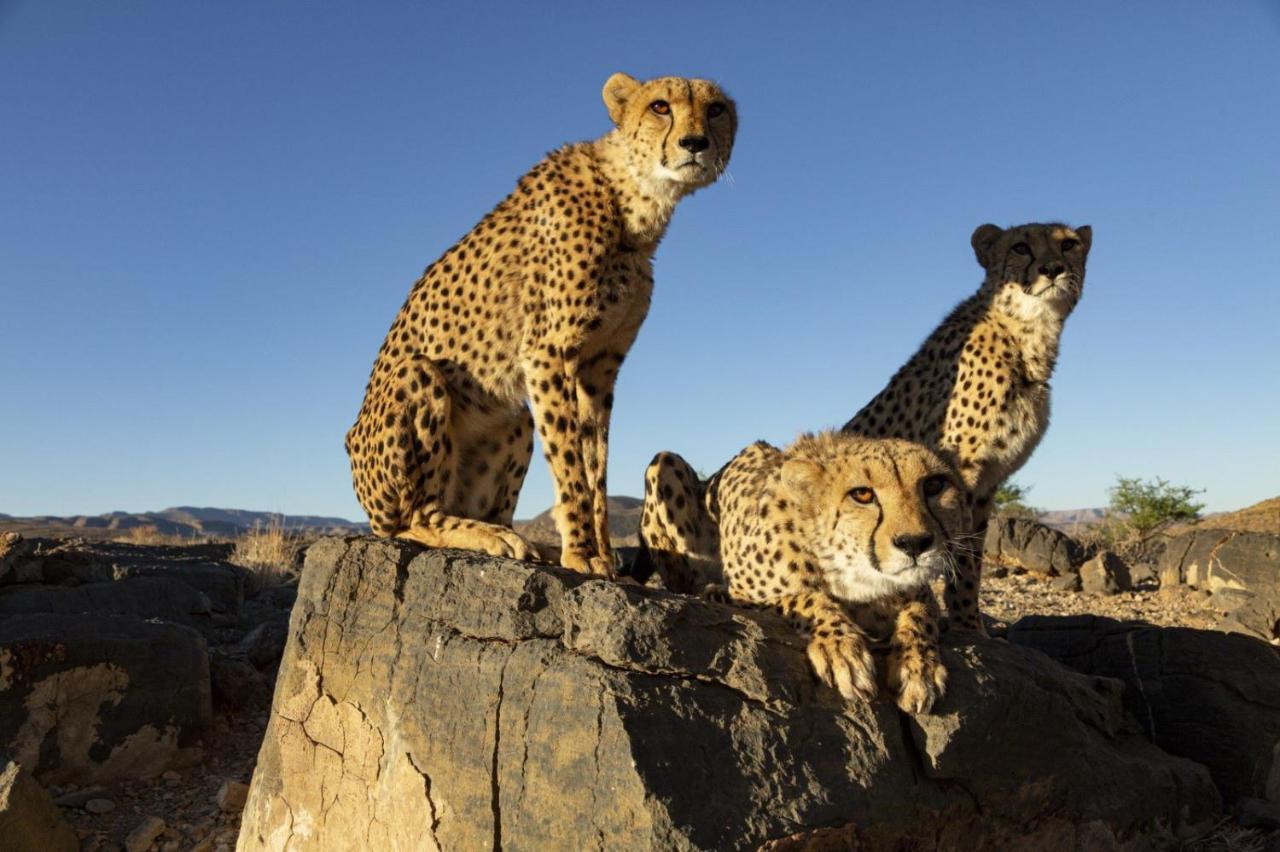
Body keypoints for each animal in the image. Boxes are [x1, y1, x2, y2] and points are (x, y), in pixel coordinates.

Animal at [345, 72, 737, 573]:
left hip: (512, 418)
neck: (633, 199)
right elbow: (570, 462)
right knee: (416, 517)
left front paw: (603, 555)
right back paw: (488, 537)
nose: (695, 143)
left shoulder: (599, 366)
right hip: (420, 377)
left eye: (716, 109)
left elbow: (595, 463)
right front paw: (582, 554)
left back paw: (528, 542)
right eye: (660, 106)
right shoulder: (548, 352)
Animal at [634, 432, 962, 711]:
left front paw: (918, 668)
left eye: (934, 485)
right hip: (663, 463)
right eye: (862, 495)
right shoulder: (750, 593)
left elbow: (920, 614)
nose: (914, 543)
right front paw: (842, 650)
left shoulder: (919, 593)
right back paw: (714, 591)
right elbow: (805, 597)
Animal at [839, 220, 1090, 629]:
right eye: (1020, 247)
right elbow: (957, 555)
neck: (1024, 333)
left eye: (1068, 245)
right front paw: (964, 625)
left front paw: (972, 621)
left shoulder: (988, 483)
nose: (1052, 269)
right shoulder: (962, 472)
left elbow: (972, 552)